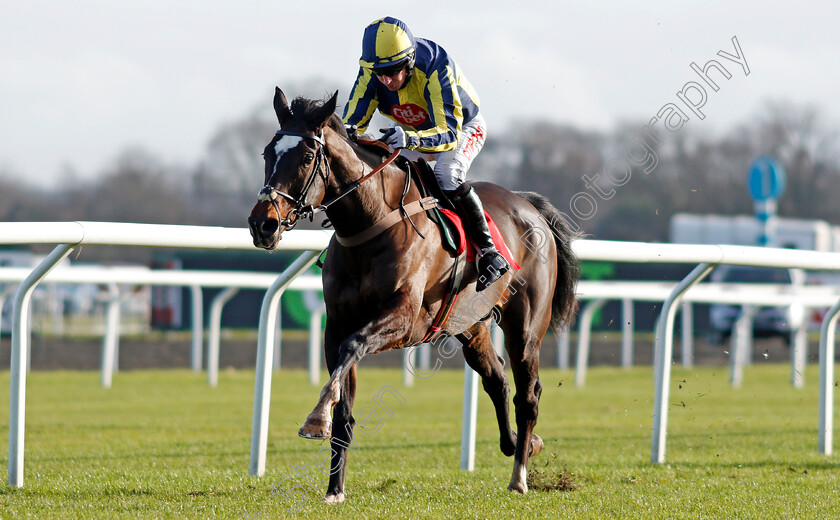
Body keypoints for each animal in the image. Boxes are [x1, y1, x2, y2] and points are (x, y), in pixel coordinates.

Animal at [248, 88, 576, 504]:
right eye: (266, 153)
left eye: (306, 157)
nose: (263, 223)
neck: (370, 224)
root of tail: (528, 205)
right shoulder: (336, 325)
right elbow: (344, 407)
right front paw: (335, 488)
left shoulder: (402, 318)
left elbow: (354, 348)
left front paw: (315, 419)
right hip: (471, 326)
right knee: (497, 380)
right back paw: (522, 443)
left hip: (526, 327)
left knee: (527, 395)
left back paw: (519, 476)